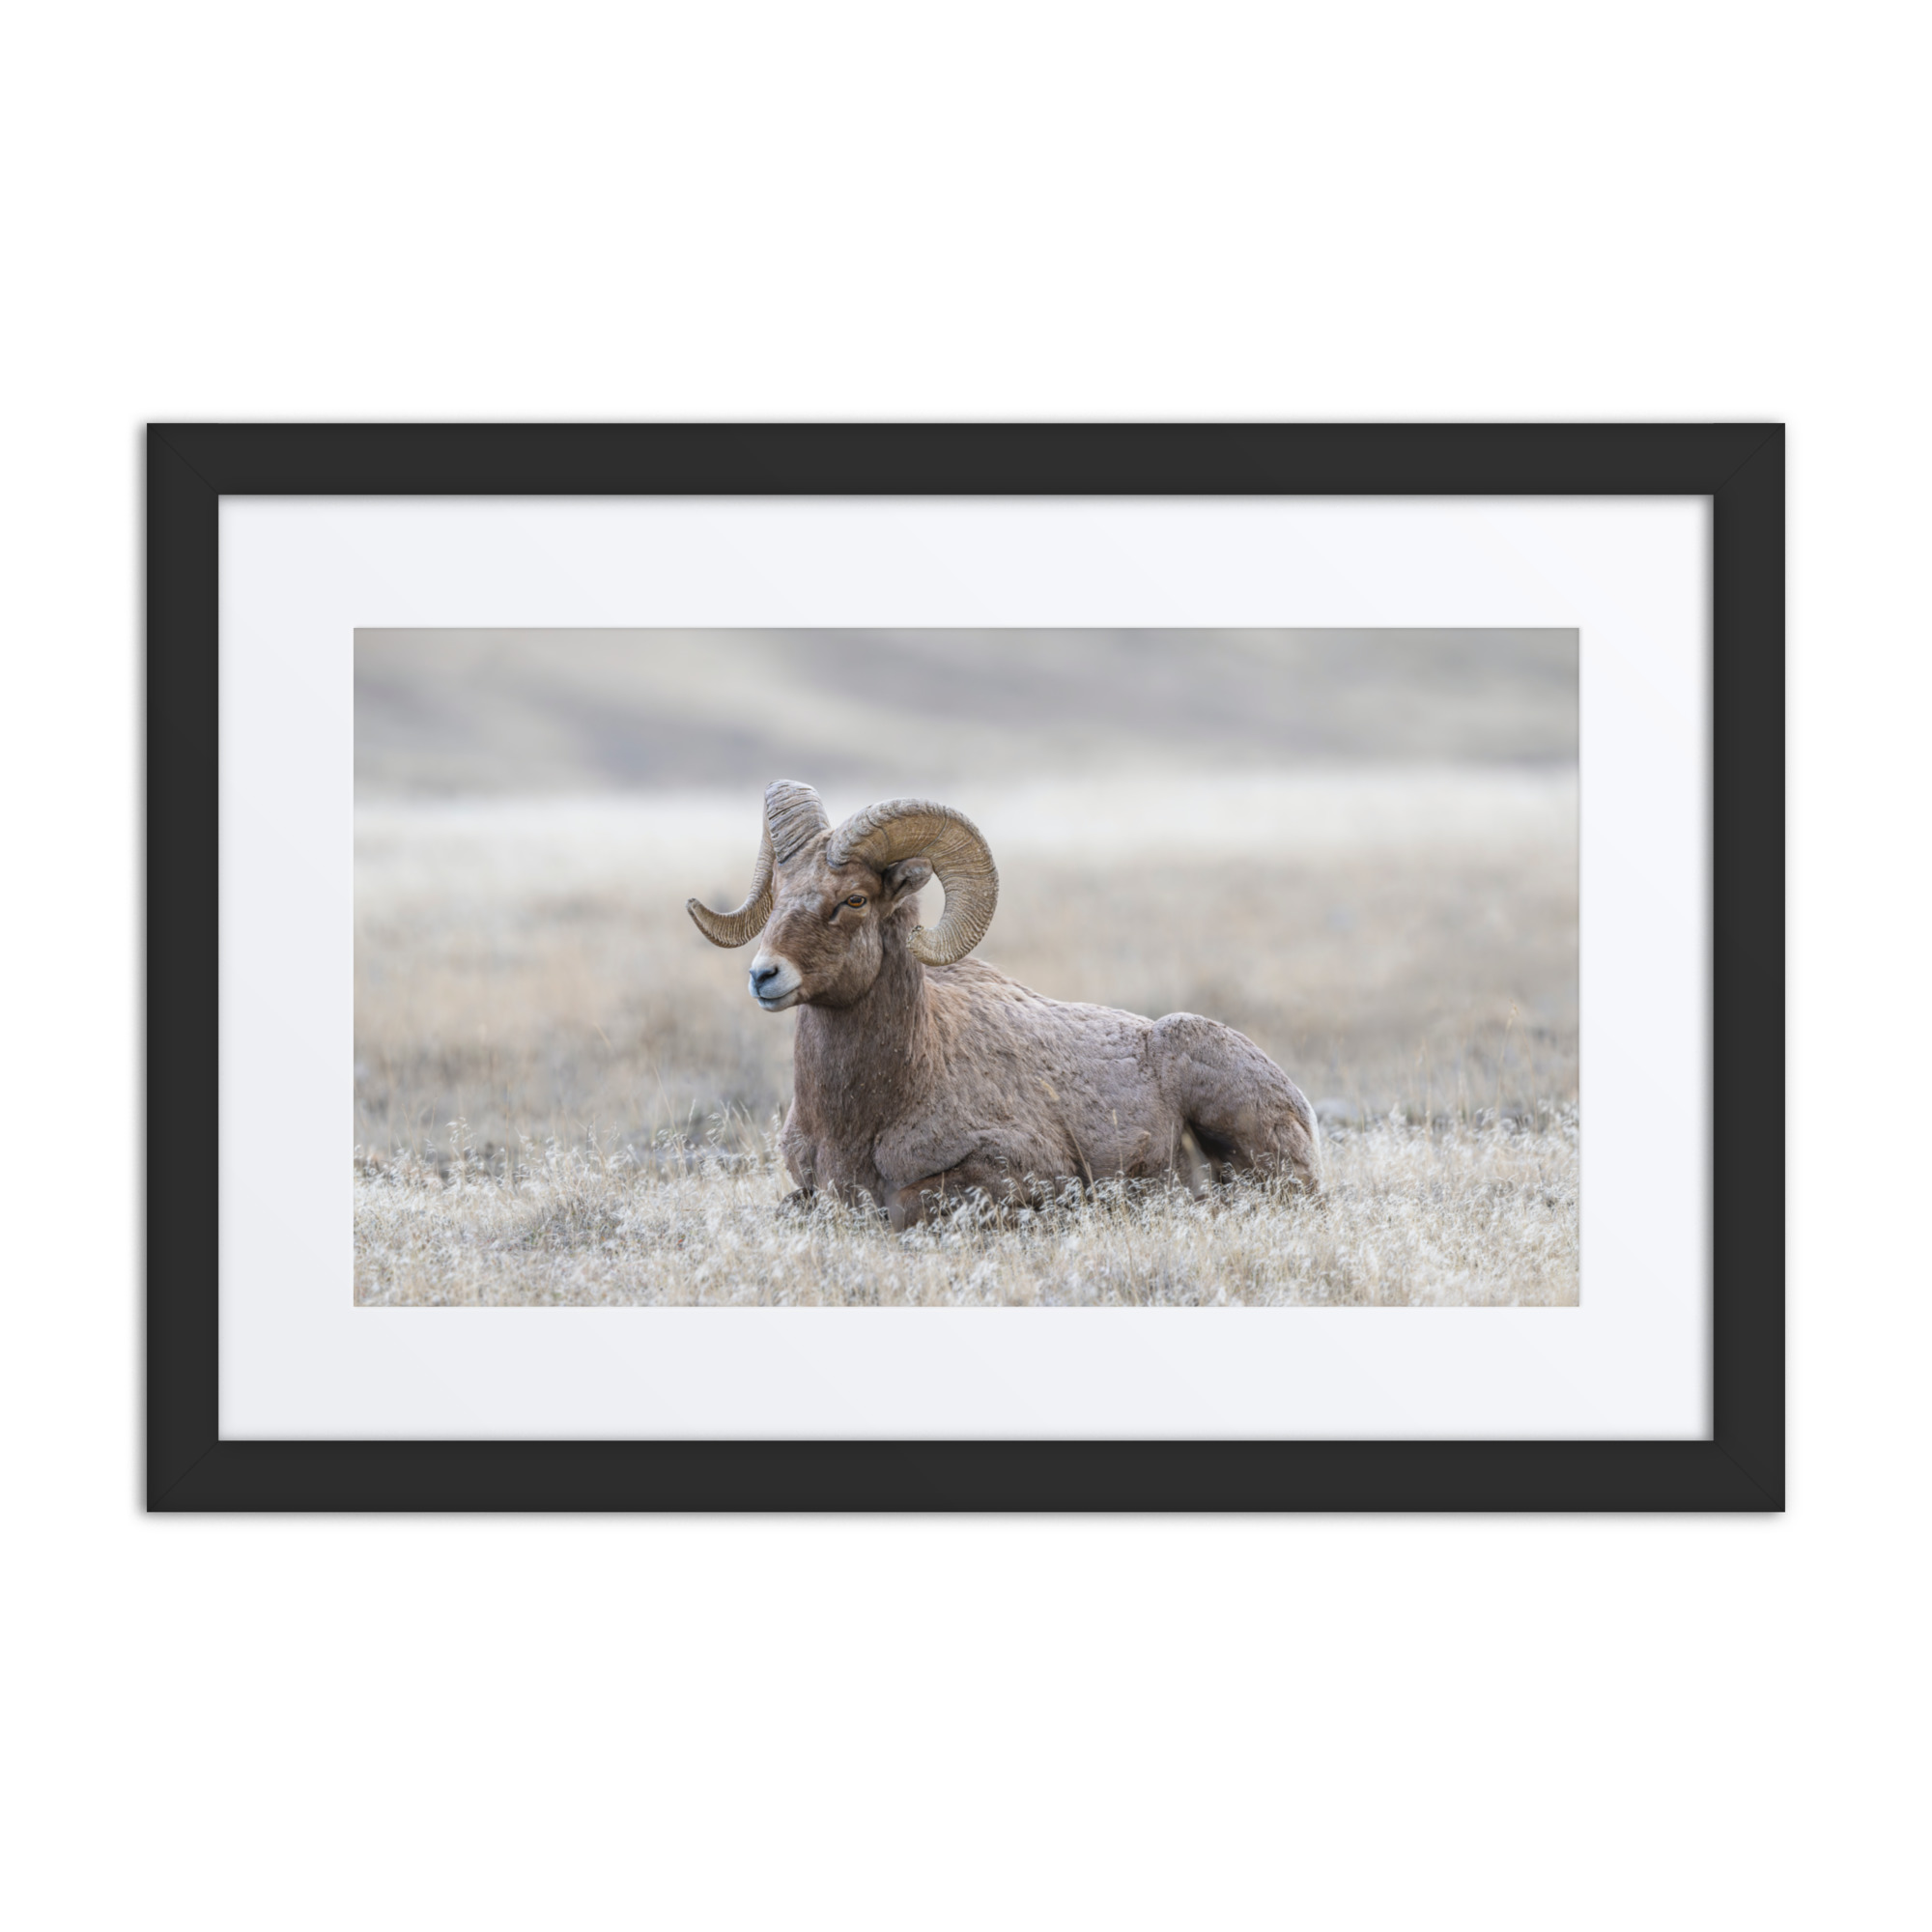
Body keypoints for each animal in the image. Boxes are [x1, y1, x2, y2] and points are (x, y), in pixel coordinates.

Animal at [687, 780, 1321, 1228]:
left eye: (855, 899)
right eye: (779, 896)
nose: (764, 976)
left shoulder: (1016, 1172)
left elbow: (905, 1206)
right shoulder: (808, 1187)